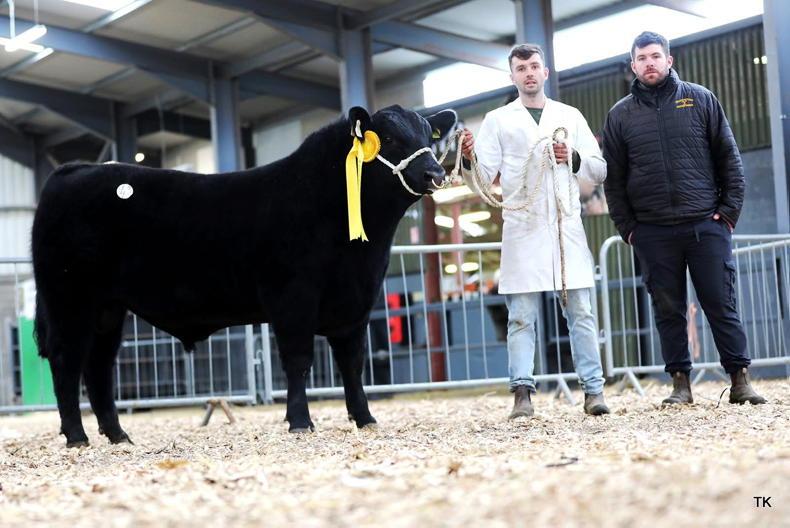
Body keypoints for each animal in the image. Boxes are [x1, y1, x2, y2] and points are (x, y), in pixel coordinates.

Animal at [32, 105, 457, 447]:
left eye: (428, 137)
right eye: (389, 138)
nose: (435, 173)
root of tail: (74, 170)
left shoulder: (356, 303)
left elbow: (352, 364)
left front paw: (365, 419)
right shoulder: (294, 297)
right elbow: (298, 360)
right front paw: (300, 422)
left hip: (108, 309)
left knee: (98, 365)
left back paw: (118, 435)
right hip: (69, 298)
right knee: (66, 361)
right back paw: (77, 436)